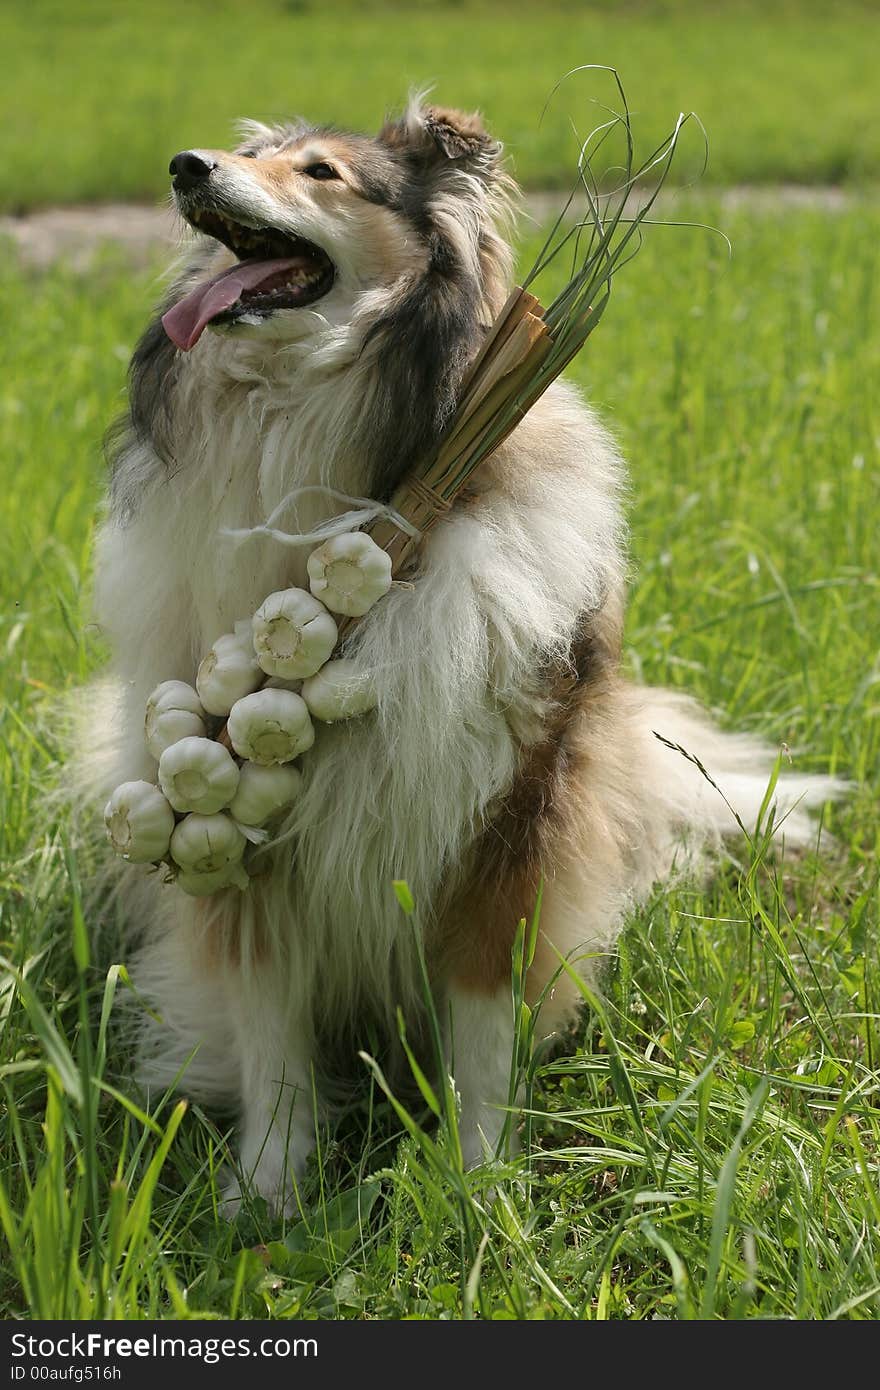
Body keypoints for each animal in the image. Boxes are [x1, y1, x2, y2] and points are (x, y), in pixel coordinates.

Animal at [88, 97, 839, 1212]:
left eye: (319, 172)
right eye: (251, 154)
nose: (186, 167)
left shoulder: (511, 813)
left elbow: (482, 1023)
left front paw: (477, 1190)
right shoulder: (247, 841)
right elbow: (270, 1024)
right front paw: (268, 1189)